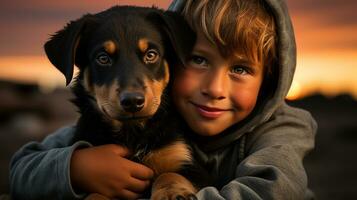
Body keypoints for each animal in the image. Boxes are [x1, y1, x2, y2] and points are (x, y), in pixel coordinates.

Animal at [43, 5, 203, 200]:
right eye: (103, 58)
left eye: (151, 55)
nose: (133, 101)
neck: (132, 135)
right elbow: (94, 194)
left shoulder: (184, 159)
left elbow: (169, 174)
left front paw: (172, 193)